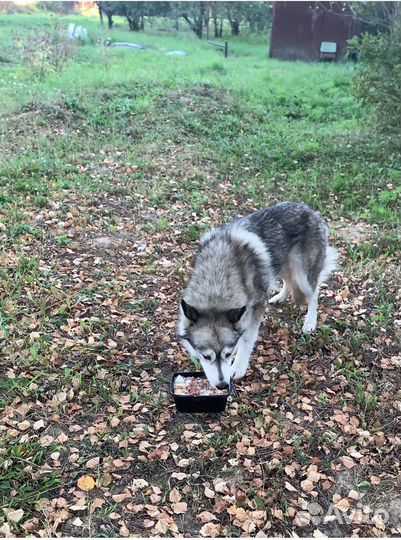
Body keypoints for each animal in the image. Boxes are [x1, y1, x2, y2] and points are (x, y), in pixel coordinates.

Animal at [177, 202, 336, 388]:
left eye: (228, 354)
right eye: (206, 356)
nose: (222, 385)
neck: (217, 280)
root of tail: (309, 210)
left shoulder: (257, 307)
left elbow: (247, 339)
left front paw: (238, 367)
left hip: (303, 276)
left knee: (314, 293)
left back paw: (310, 322)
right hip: (280, 265)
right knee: (288, 282)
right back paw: (280, 297)